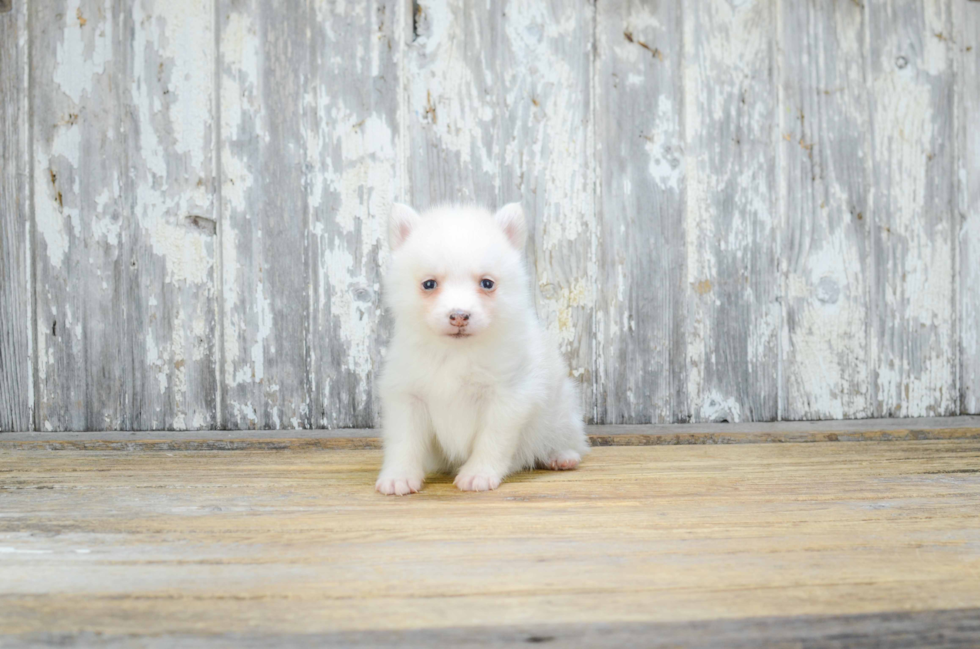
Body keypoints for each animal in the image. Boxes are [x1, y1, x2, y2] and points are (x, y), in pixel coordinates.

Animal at [376, 200, 588, 494]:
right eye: (429, 284)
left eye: (487, 283)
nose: (459, 315)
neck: (455, 353)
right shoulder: (407, 394)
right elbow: (403, 441)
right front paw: (399, 476)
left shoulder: (507, 396)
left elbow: (492, 440)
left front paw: (478, 473)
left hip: (561, 412)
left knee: (564, 437)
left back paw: (561, 455)